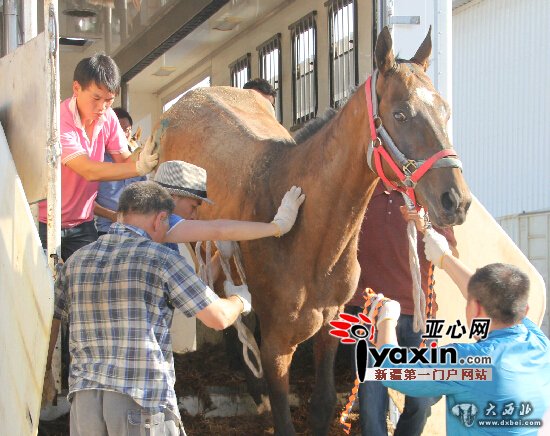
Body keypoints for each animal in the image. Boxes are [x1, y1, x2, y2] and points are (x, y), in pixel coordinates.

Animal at [156, 26, 471, 435]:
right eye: (400, 114)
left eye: (445, 110)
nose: (456, 201)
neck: (314, 239)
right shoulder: (278, 344)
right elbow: (282, 413)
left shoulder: (330, 324)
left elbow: (322, 405)